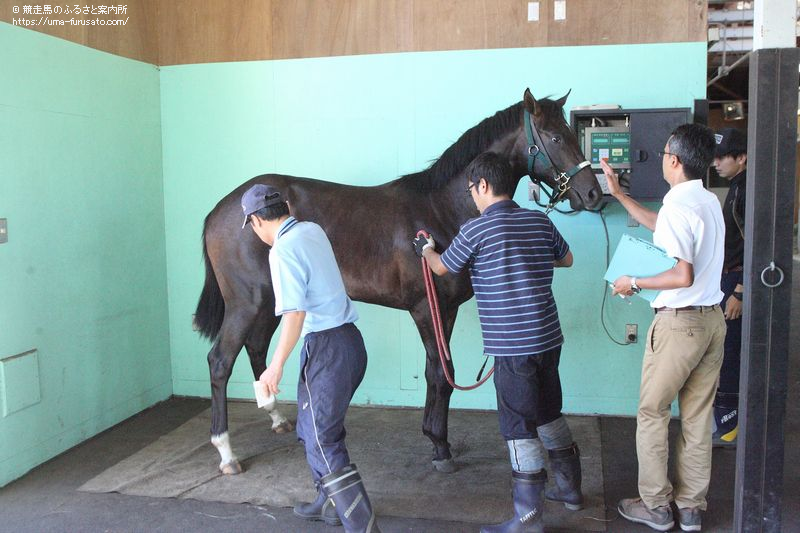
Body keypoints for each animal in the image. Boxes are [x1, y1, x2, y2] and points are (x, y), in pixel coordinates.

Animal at [195, 88, 600, 474]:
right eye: (555, 137)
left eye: (570, 133)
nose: (593, 193)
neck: (441, 209)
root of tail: (220, 210)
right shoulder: (425, 309)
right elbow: (440, 373)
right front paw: (440, 446)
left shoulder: (446, 310)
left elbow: (440, 373)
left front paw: (436, 439)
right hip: (247, 302)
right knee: (220, 361)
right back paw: (226, 452)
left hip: (270, 301)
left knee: (256, 348)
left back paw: (277, 418)